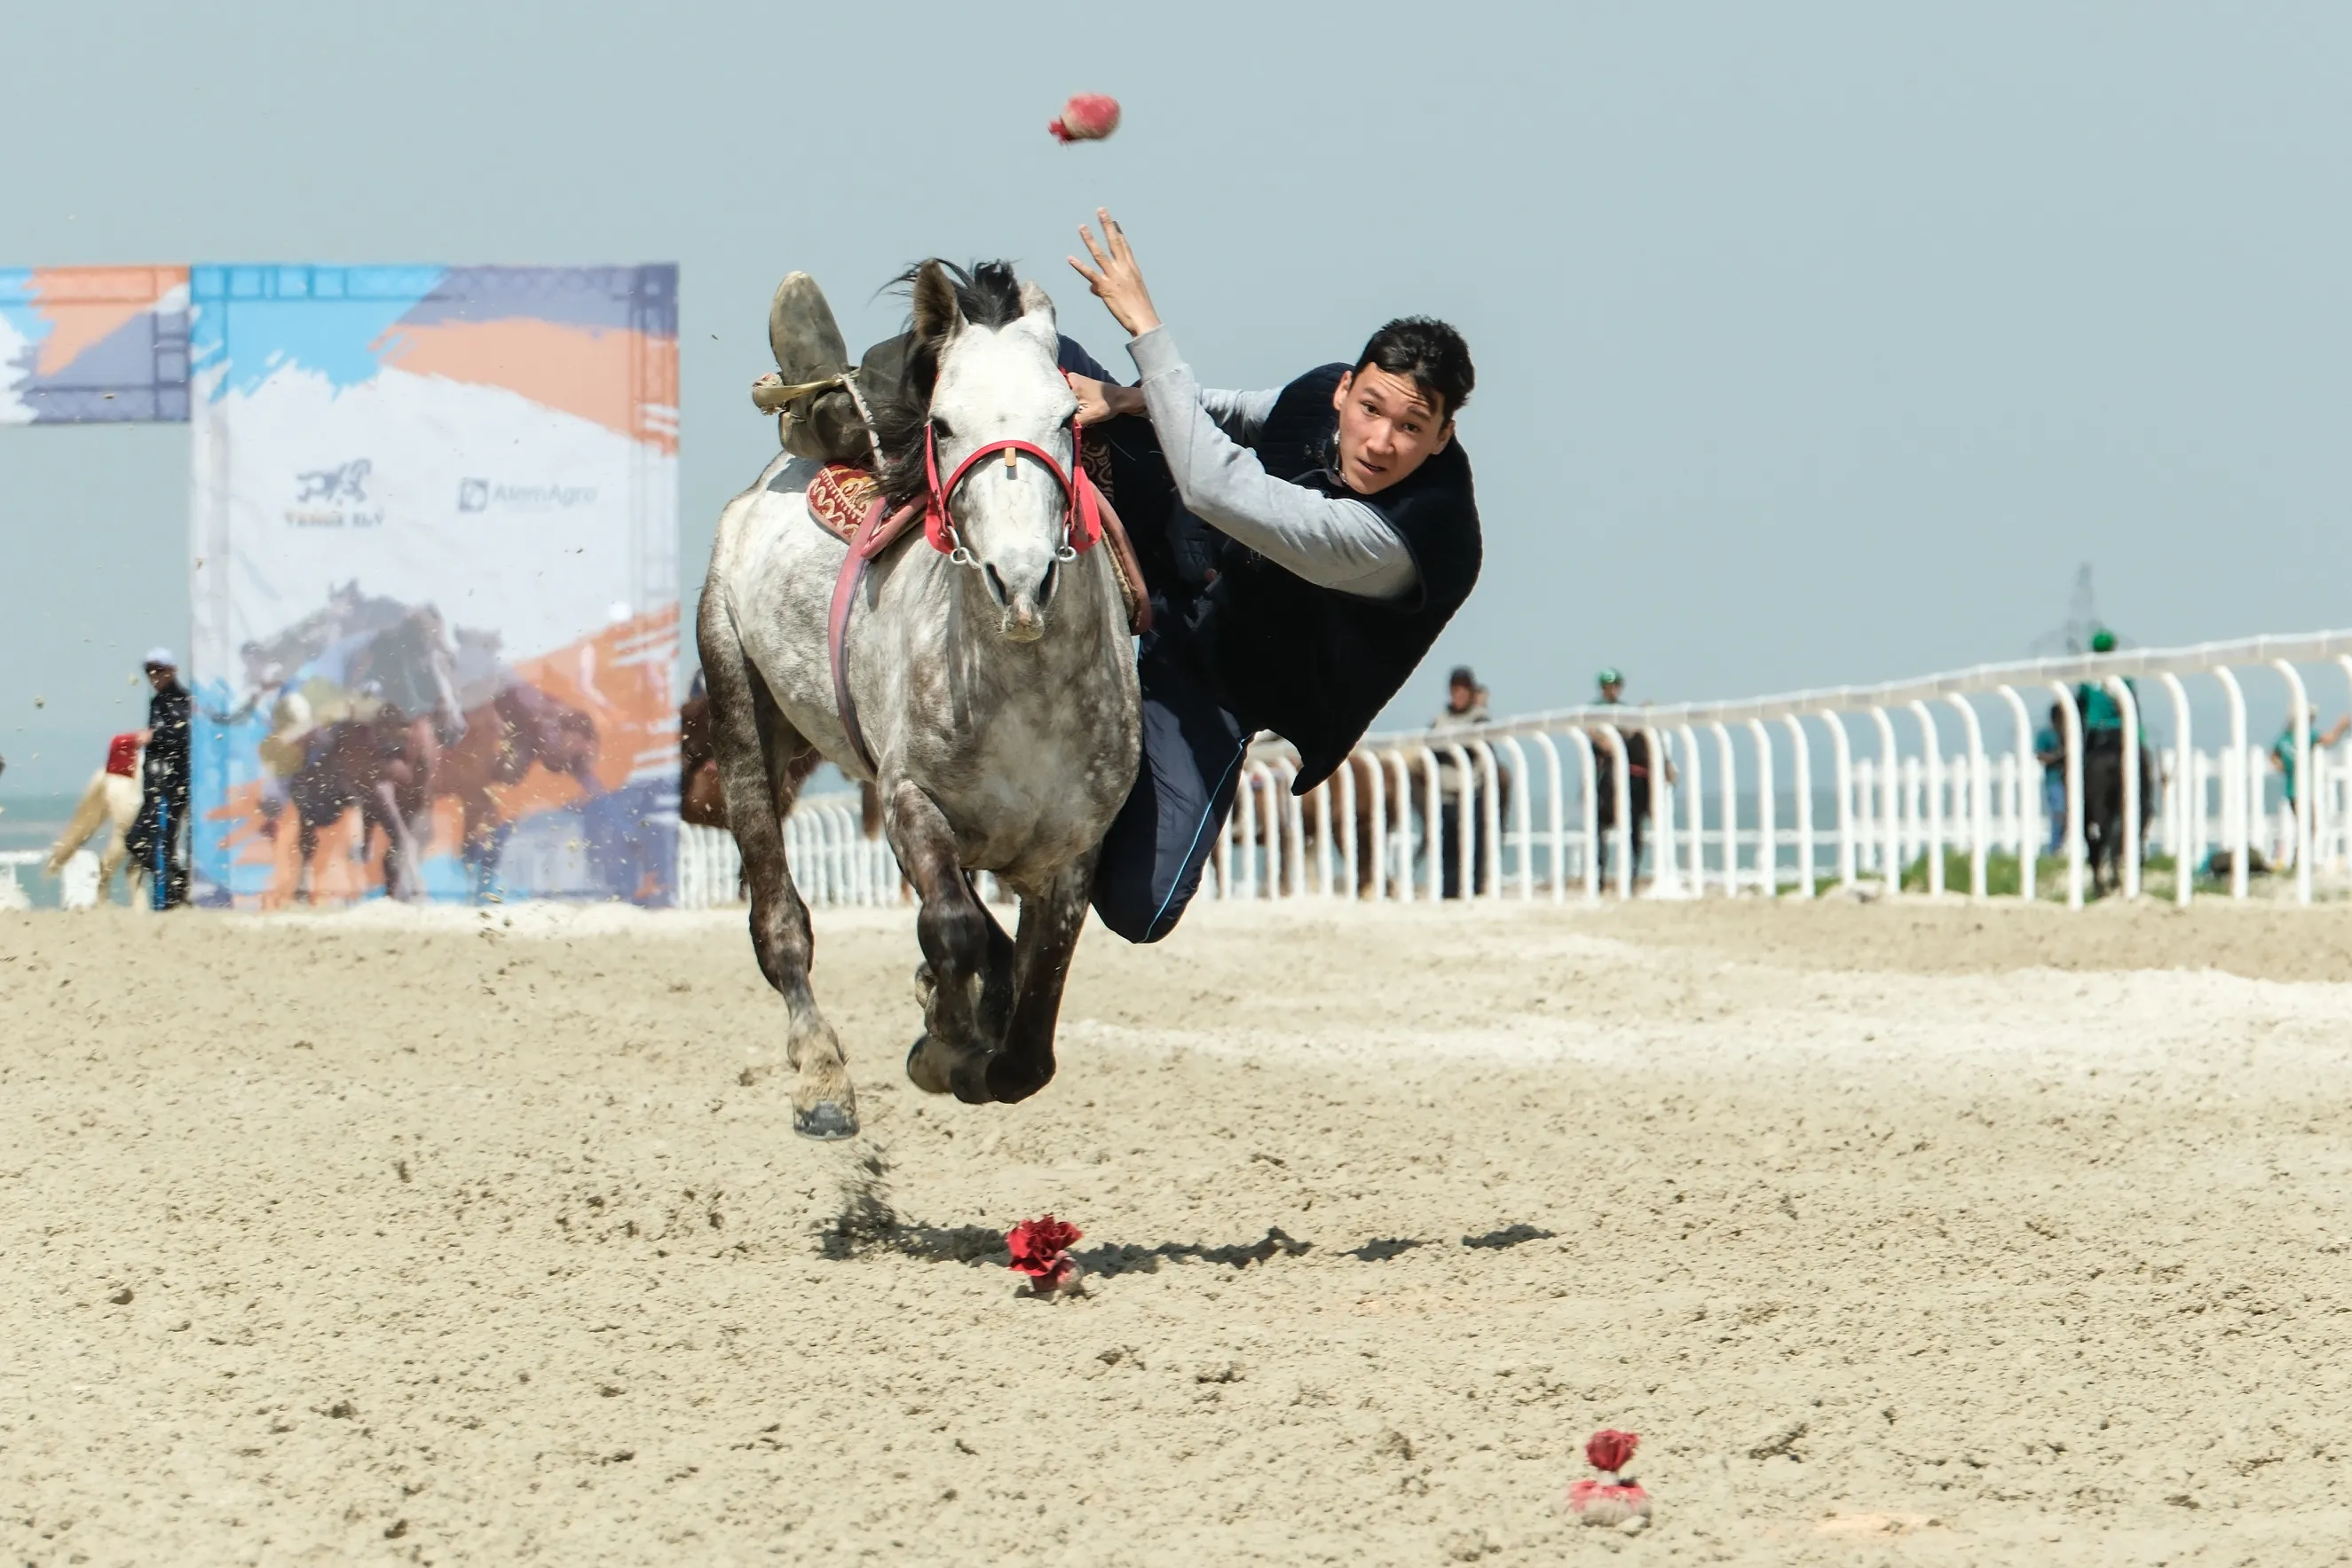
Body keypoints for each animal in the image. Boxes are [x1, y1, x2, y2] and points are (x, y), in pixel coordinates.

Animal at [696, 257, 1138, 1142]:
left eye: (1067, 416)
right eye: (941, 424)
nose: (1020, 581)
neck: (1025, 693)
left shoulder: (1073, 851)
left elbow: (1030, 1034)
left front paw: (964, 1030)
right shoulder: (910, 801)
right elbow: (953, 928)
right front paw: (945, 1044)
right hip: (739, 708)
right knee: (780, 921)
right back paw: (822, 1077)